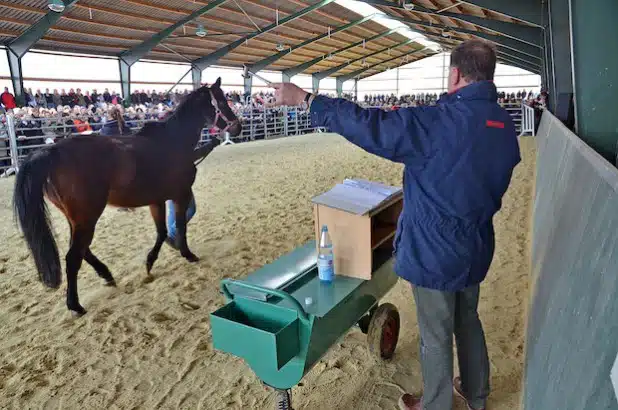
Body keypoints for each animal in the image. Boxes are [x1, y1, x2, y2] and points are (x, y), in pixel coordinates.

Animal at [14, 77, 241, 318]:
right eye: (221, 102)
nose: (237, 127)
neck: (173, 142)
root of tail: (52, 152)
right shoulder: (181, 194)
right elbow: (180, 225)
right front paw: (188, 254)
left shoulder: (157, 200)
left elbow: (162, 232)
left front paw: (150, 264)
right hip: (87, 217)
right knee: (73, 257)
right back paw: (75, 305)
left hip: (76, 218)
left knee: (82, 250)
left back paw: (106, 275)